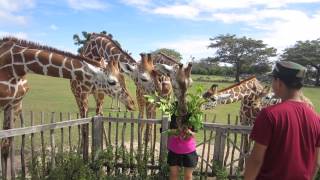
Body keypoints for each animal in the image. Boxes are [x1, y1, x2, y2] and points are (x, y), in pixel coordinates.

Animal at [0, 37, 134, 174]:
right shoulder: (81, 95)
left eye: (123, 78)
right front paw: (83, 157)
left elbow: (5, 147)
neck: (16, 65)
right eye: (112, 82)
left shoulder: (15, 104)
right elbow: (84, 127)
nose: (132, 103)